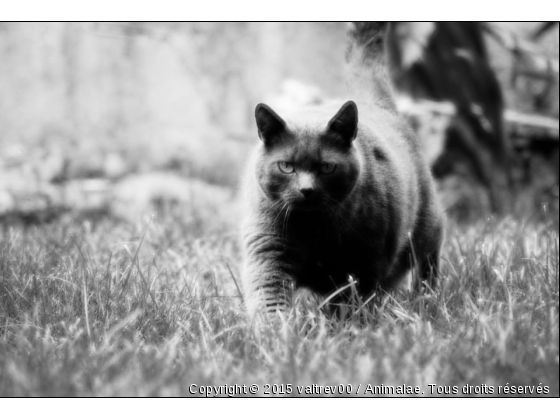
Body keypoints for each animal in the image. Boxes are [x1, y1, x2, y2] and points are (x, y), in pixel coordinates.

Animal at [241, 22, 446, 316]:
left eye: (327, 167)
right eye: (286, 166)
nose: (306, 189)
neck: (312, 231)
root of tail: (375, 104)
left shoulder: (365, 260)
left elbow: (353, 299)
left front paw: (349, 325)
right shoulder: (267, 248)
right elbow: (269, 296)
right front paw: (276, 328)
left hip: (426, 228)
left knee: (426, 264)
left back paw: (426, 299)